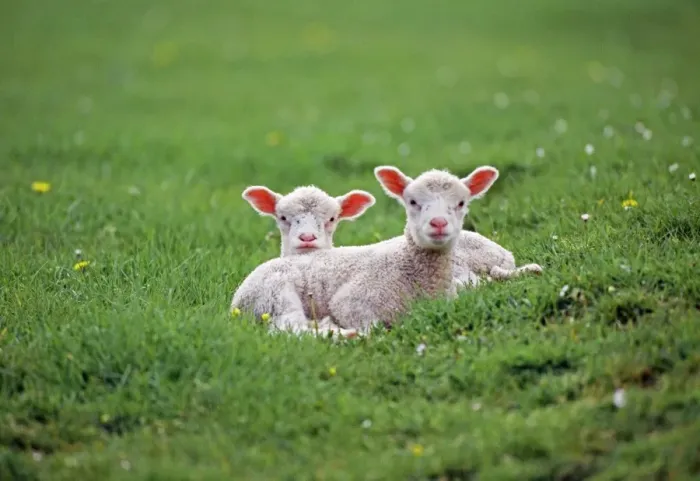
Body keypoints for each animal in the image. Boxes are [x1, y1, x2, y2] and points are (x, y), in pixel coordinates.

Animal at [230, 164, 501, 337]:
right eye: (412, 202)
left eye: (461, 203)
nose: (438, 223)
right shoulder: (351, 302)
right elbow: (372, 326)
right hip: (274, 296)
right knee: (289, 329)